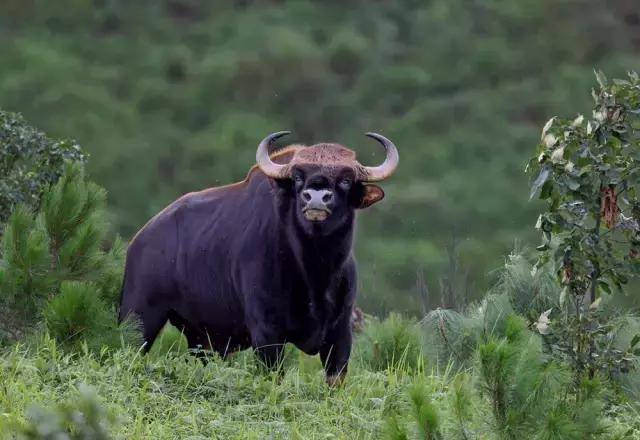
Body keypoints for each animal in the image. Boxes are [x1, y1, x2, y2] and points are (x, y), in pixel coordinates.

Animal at [118, 131, 398, 384]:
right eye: (298, 176)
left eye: (346, 180)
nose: (316, 197)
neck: (314, 272)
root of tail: (139, 241)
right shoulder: (266, 333)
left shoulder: (340, 333)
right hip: (138, 317)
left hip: (199, 341)